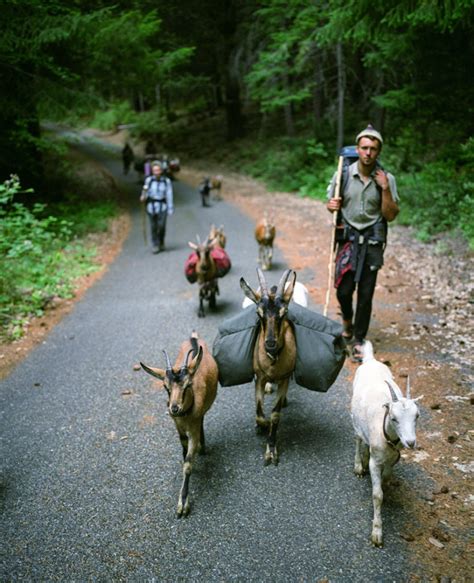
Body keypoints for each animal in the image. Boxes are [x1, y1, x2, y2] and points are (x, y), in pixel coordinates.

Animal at [139, 330, 217, 516]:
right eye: (165, 387)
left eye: (188, 385)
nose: (174, 408)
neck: (185, 416)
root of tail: (194, 338)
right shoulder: (178, 427)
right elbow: (183, 450)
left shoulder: (193, 428)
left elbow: (188, 463)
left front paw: (183, 504)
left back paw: (203, 447)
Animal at [241, 268, 296, 466]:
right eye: (258, 312)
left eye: (284, 312)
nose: (270, 344)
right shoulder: (260, 377)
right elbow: (259, 411)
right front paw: (261, 426)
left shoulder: (285, 379)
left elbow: (275, 415)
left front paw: (271, 451)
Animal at [350, 342, 424, 548]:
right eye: (394, 418)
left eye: (417, 416)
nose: (410, 442)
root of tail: (371, 360)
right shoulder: (375, 463)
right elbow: (377, 495)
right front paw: (377, 533)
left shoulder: (393, 457)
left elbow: (387, 475)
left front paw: (386, 482)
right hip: (355, 418)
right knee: (358, 439)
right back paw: (358, 465)